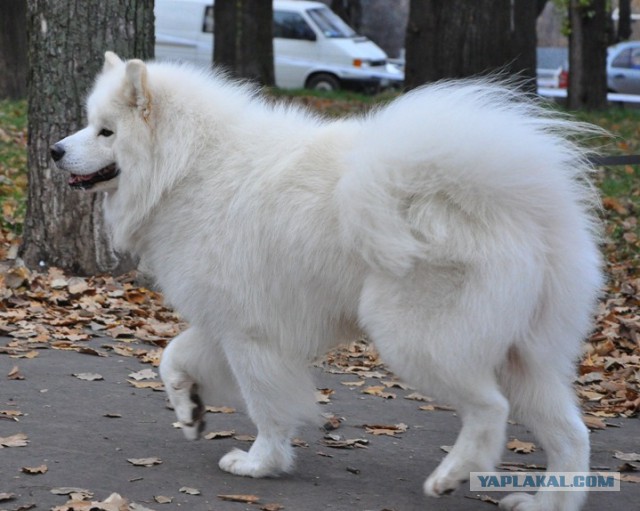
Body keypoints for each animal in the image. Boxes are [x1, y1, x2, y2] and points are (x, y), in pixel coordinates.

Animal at [51, 53, 604, 511]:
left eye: (106, 132)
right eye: (90, 125)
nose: (55, 150)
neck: (188, 169)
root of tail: (509, 203)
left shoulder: (251, 334)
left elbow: (267, 408)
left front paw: (260, 463)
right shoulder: (223, 320)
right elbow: (172, 357)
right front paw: (189, 411)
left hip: (418, 339)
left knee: (491, 409)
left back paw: (452, 475)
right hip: (525, 356)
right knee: (572, 434)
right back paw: (545, 504)